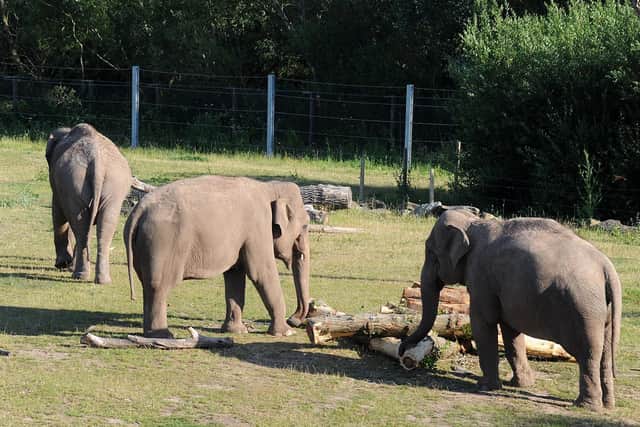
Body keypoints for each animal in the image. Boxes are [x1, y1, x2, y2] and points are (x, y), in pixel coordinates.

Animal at [46, 123, 132, 284]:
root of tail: (97, 162)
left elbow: (58, 213)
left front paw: (62, 265)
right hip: (113, 188)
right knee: (104, 224)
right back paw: (101, 280)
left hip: (74, 183)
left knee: (79, 225)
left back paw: (78, 275)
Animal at [123, 175, 311, 338]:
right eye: (305, 225)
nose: (294, 320)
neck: (270, 188)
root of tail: (139, 210)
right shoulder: (257, 228)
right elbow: (261, 273)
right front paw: (286, 332)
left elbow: (235, 275)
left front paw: (236, 331)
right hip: (162, 242)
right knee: (159, 287)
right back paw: (163, 335)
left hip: (143, 246)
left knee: (147, 286)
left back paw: (151, 334)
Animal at [399, 209, 622, 411]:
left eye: (430, 252)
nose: (402, 352)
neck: (474, 223)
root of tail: (606, 266)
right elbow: (511, 332)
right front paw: (520, 384)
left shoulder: (481, 277)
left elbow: (483, 323)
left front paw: (485, 386)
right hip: (602, 310)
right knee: (605, 352)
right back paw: (608, 404)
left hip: (583, 309)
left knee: (587, 354)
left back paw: (585, 406)